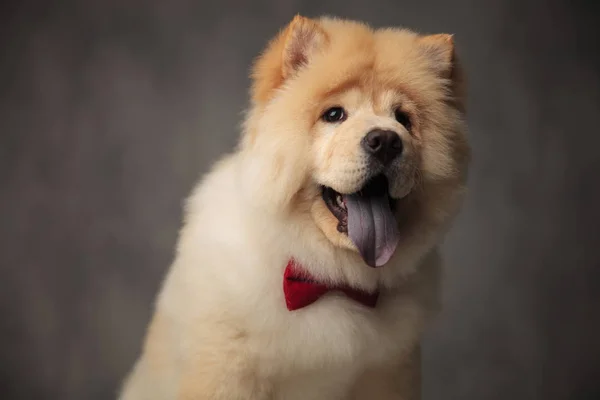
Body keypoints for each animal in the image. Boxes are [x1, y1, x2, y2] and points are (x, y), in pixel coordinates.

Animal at [119, 14, 472, 400]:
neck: (329, 277)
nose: (386, 140)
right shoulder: (224, 368)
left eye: (404, 120)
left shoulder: (389, 372)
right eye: (334, 114)